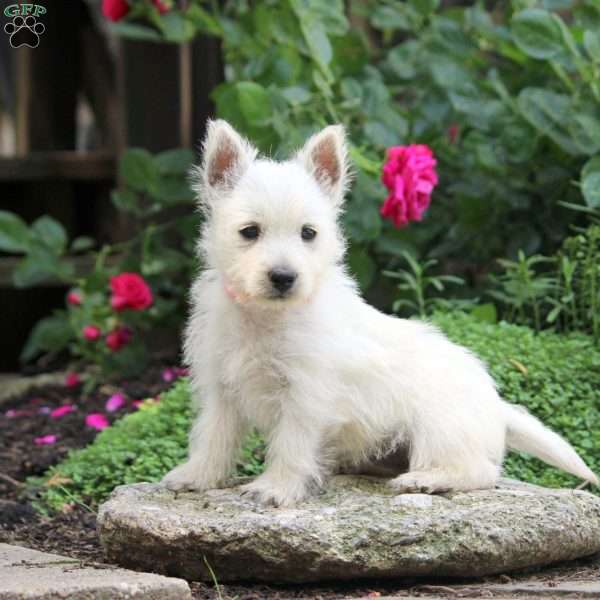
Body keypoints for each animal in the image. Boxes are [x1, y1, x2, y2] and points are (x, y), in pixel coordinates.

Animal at [162, 119, 596, 504]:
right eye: (249, 232)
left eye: (308, 233)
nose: (284, 277)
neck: (267, 316)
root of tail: (499, 408)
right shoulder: (221, 388)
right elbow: (212, 437)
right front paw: (196, 476)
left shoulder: (305, 395)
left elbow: (291, 444)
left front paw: (277, 487)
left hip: (439, 426)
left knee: (481, 470)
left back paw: (426, 480)